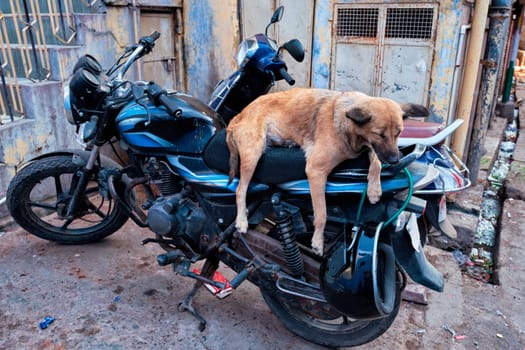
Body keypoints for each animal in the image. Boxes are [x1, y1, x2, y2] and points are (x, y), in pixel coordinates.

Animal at [227, 88, 428, 254]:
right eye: (380, 134)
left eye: (399, 133)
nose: (395, 160)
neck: (348, 127)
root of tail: (239, 115)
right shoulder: (316, 170)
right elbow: (322, 214)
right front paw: (317, 241)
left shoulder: (369, 148)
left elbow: (376, 162)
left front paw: (374, 189)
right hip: (253, 155)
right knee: (240, 190)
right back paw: (241, 220)